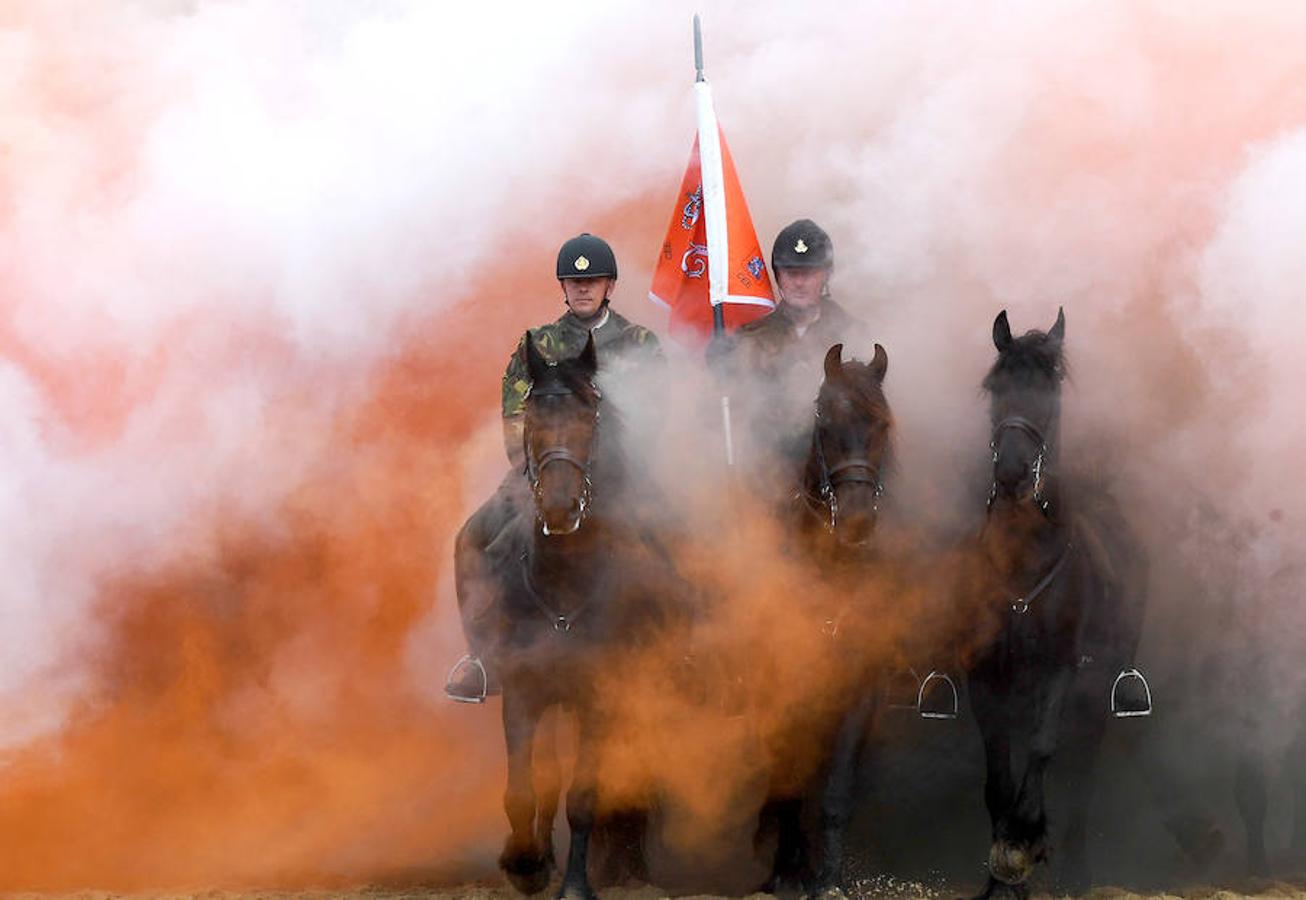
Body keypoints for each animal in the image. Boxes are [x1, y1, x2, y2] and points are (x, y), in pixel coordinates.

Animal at [752, 339, 893, 893]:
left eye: (882, 425)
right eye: (824, 421)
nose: (855, 521)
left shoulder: (858, 687)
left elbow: (837, 788)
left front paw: (828, 877)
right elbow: (790, 776)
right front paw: (786, 873)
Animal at [961, 310, 1154, 898]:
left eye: (1050, 390)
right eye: (996, 387)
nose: (1012, 473)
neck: (1023, 560)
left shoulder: (1060, 668)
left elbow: (1043, 747)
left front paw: (1022, 845)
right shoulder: (986, 675)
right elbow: (996, 769)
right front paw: (1000, 879)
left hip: (1097, 686)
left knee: (1084, 764)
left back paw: (1076, 872)